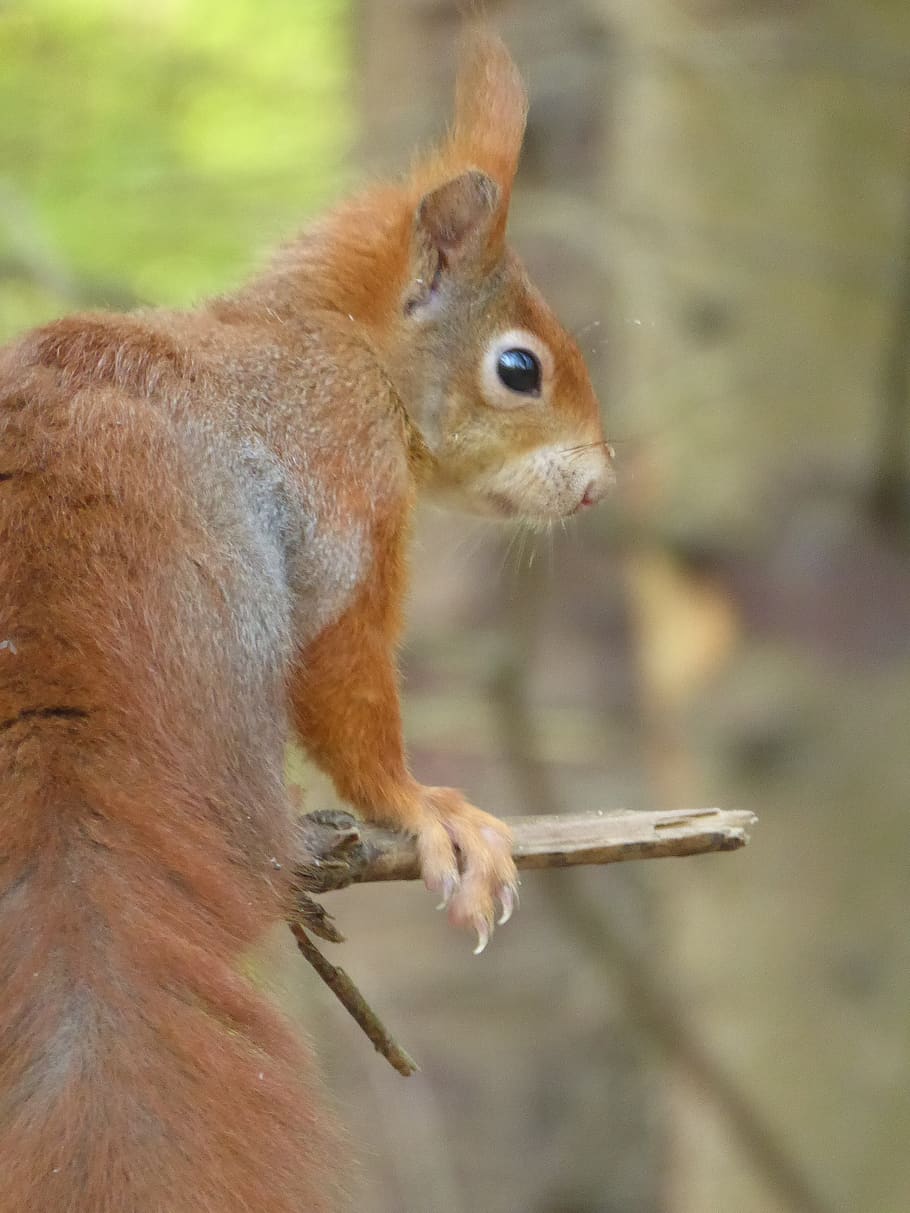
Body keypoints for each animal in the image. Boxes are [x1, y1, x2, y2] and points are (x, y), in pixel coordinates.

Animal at [1, 26, 613, 1213]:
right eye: (519, 367)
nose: (600, 487)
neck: (343, 343)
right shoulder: (346, 493)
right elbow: (347, 679)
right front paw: (425, 809)